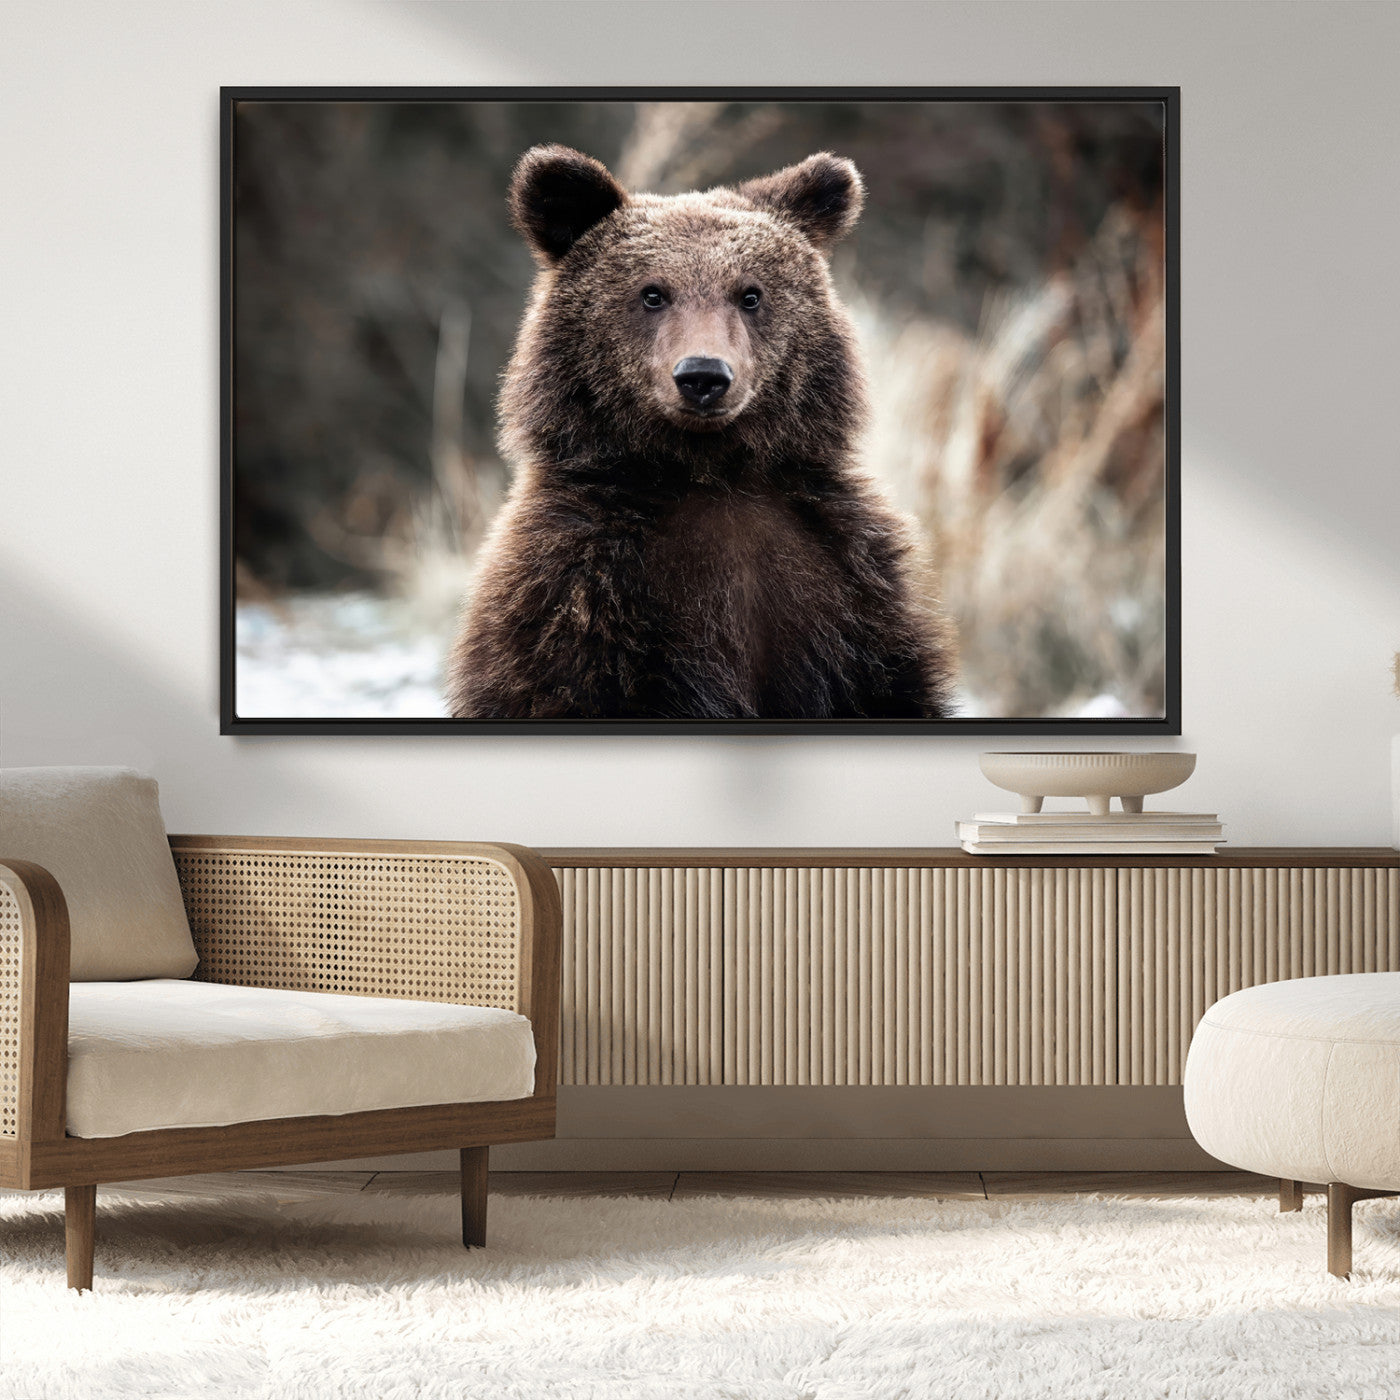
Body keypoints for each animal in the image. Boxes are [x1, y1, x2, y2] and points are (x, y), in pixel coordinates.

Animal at [445, 144, 956, 720]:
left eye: (750, 294)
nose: (703, 376)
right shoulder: (576, 595)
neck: (710, 472)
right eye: (652, 293)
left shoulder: (849, 589)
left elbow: (887, 682)